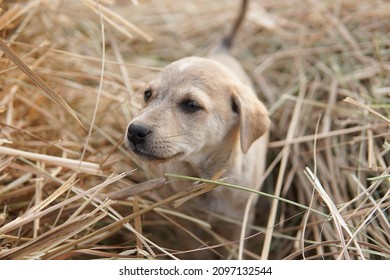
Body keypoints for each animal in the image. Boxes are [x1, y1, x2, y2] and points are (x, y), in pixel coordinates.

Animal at [124, 0, 268, 258]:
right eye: (147, 94)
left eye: (191, 105)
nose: (134, 131)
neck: (205, 175)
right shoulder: (187, 222)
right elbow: (196, 251)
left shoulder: (239, 222)